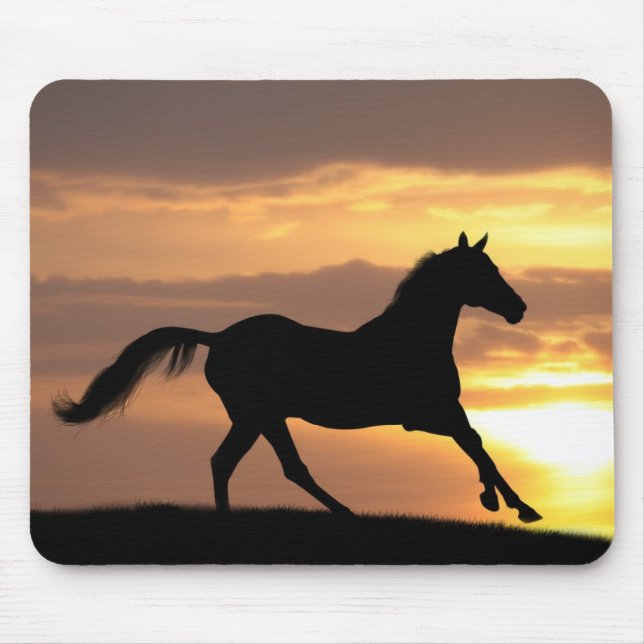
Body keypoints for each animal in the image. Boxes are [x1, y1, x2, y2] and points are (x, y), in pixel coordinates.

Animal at [53, 232, 542, 523]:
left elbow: (475, 442)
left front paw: (500, 500)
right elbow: (476, 444)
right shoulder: (423, 415)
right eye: (485, 271)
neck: (412, 340)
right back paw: (343, 513)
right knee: (275, 466)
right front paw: (517, 506)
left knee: (234, 462)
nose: (519, 309)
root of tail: (218, 337)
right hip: (260, 415)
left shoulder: (435, 413)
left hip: (254, 418)